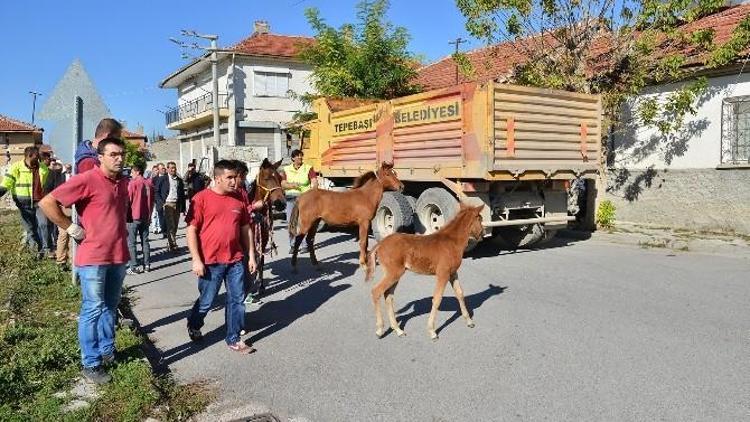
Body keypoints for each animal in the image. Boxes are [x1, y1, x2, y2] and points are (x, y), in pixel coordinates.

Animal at [253, 158, 288, 296]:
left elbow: (261, 260)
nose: (281, 204)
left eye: (280, 178)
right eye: (266, 178)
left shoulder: (264, 237)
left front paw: (261, 286)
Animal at [366, 203, 484, 342]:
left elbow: (460, 293)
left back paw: (398, 330)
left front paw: (469, 321)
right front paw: (432, 331)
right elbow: (437, 299)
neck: (452, 242)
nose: (482, 234)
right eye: (480, 219)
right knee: (376, 291)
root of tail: (380, 245)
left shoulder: (453, 273)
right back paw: (380, 330)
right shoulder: (443, 274)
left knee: (388, 296)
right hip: (393, 273)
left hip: (395, 274)